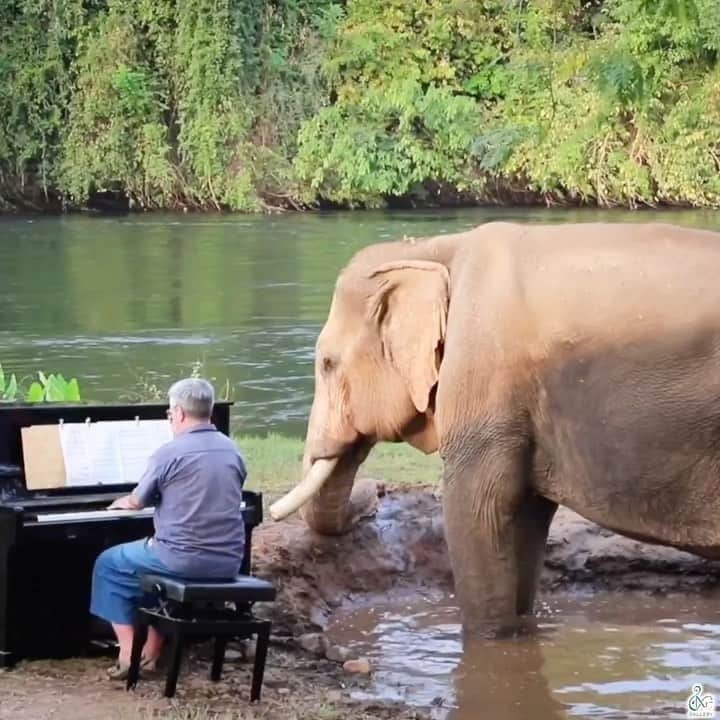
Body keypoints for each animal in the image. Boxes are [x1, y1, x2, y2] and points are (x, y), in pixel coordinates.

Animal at [268, 222, 720, 640]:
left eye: (327, 363)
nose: (374, 494)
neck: (435, 247)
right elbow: (526, 515)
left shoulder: (483, 379)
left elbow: (477, 508)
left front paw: (490, 641)